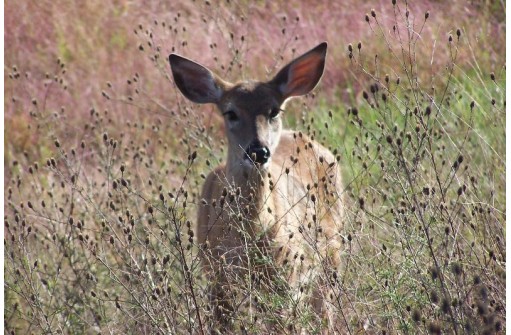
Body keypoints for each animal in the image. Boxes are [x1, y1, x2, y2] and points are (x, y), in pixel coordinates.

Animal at [170, 42, 346, 334]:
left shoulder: (287, 275)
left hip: (331, 252)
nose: (258, 151)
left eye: (274, 110)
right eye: (230, 112)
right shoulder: (216, 276)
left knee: (326, 312)